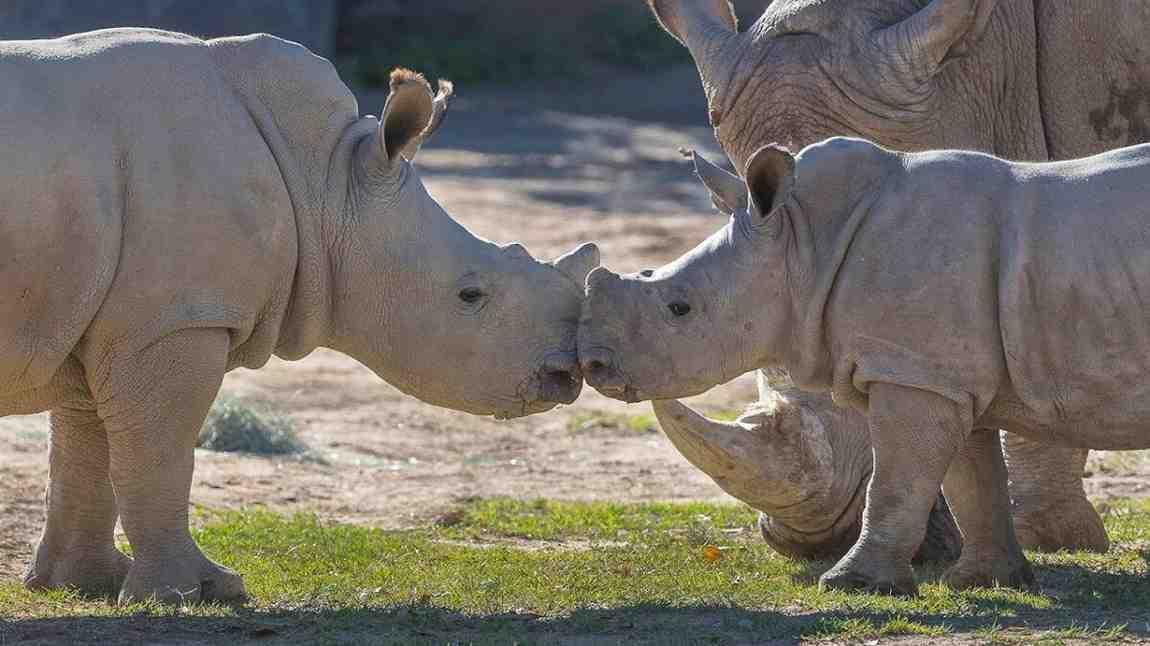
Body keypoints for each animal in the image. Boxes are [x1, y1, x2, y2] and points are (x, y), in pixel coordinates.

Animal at [2, 28, 598, 604]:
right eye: (470, 295)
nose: (564, 373)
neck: (326, 184)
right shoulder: (174, 319)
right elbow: (159, 455)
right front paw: (198, 592)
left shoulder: (103, 318)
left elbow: (86, 452)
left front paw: (84, 584)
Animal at [580, 136, 1150, 594]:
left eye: (679, 308)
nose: (595, 364)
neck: (804, 245)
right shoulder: (944, 372)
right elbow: (971, 478)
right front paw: (984, 581)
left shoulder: (911, 373)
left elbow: (897, 481)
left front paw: (852, 584)